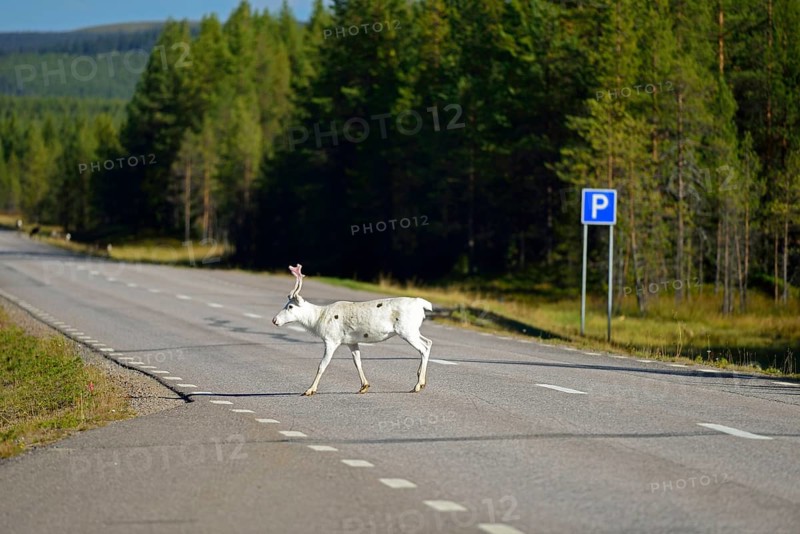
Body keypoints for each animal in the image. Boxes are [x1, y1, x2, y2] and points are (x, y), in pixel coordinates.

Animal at [271, 264, 433, 396]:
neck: (318, 319)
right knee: (429, 342)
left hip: (406, 330)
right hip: (413, 330)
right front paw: (364, 386)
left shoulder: (331, 339)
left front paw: (309, 390)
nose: (274, 320)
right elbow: (357, 362)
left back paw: (418, 384)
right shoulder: (351, 341)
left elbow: (322, 365)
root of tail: (422, 304)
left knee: (424, 347)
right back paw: (421, 381)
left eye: (290, 306)